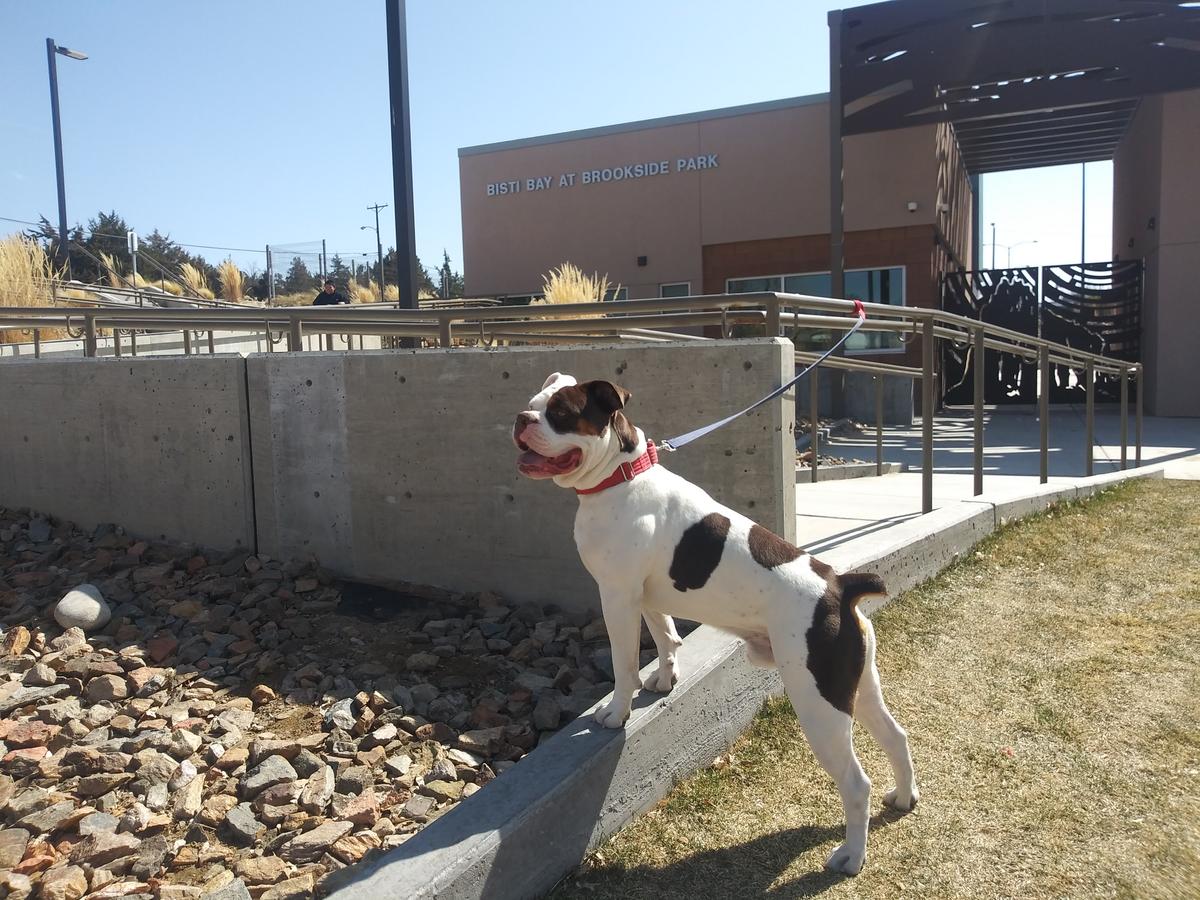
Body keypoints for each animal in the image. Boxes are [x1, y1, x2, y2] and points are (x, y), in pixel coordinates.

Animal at [508, 372, 916, 873]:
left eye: (560, 414)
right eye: (532, 403)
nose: (522, 419)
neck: (621, 475)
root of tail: (840, 586)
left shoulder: (617, 597)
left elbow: (624, 664)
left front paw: (616, 712)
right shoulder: (645, 596)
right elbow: (665, 636)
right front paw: (664, 679)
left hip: (818, 702)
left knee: (856, 784)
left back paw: (851, 856)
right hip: (857, 686)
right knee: (897, 738)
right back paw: (904, 797)